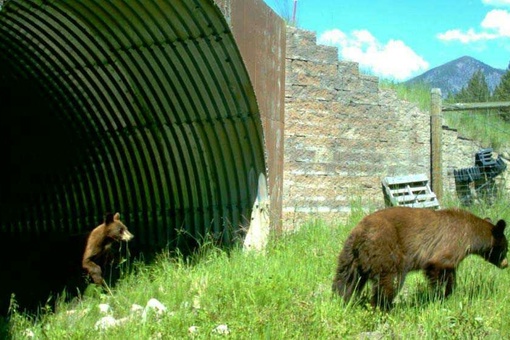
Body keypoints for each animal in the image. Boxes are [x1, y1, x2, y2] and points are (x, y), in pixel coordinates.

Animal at [332, 206, 508, 310]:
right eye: (506, 249)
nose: (506, 264)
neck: (471, 232)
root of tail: (361, 233)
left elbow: (450, 272)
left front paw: (448, 294)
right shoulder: (450, 243)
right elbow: (439, 269)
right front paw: (441, 296)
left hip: (349, 256)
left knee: (345, 280)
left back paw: (341, 301)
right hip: (385, 248)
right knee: (390, 281)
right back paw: (384, 307)